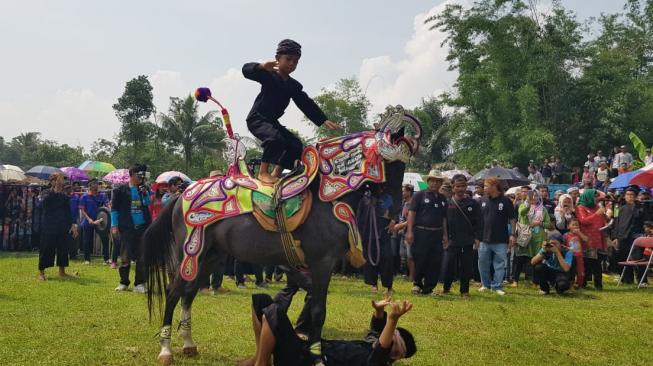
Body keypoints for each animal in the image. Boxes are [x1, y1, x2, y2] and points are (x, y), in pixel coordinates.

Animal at [141, 112, 422, 366]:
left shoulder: (316, 266)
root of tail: (182, 194)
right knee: (173, 292)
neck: (326, 199)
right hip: (190, 254)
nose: (393, 209)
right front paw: (317, 356)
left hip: (210, 256)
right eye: (392, 164)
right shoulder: (322, 263)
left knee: (188, 293)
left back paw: (188, 344)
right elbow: (319, 311)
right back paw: (165, 350)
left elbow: (311, 303)